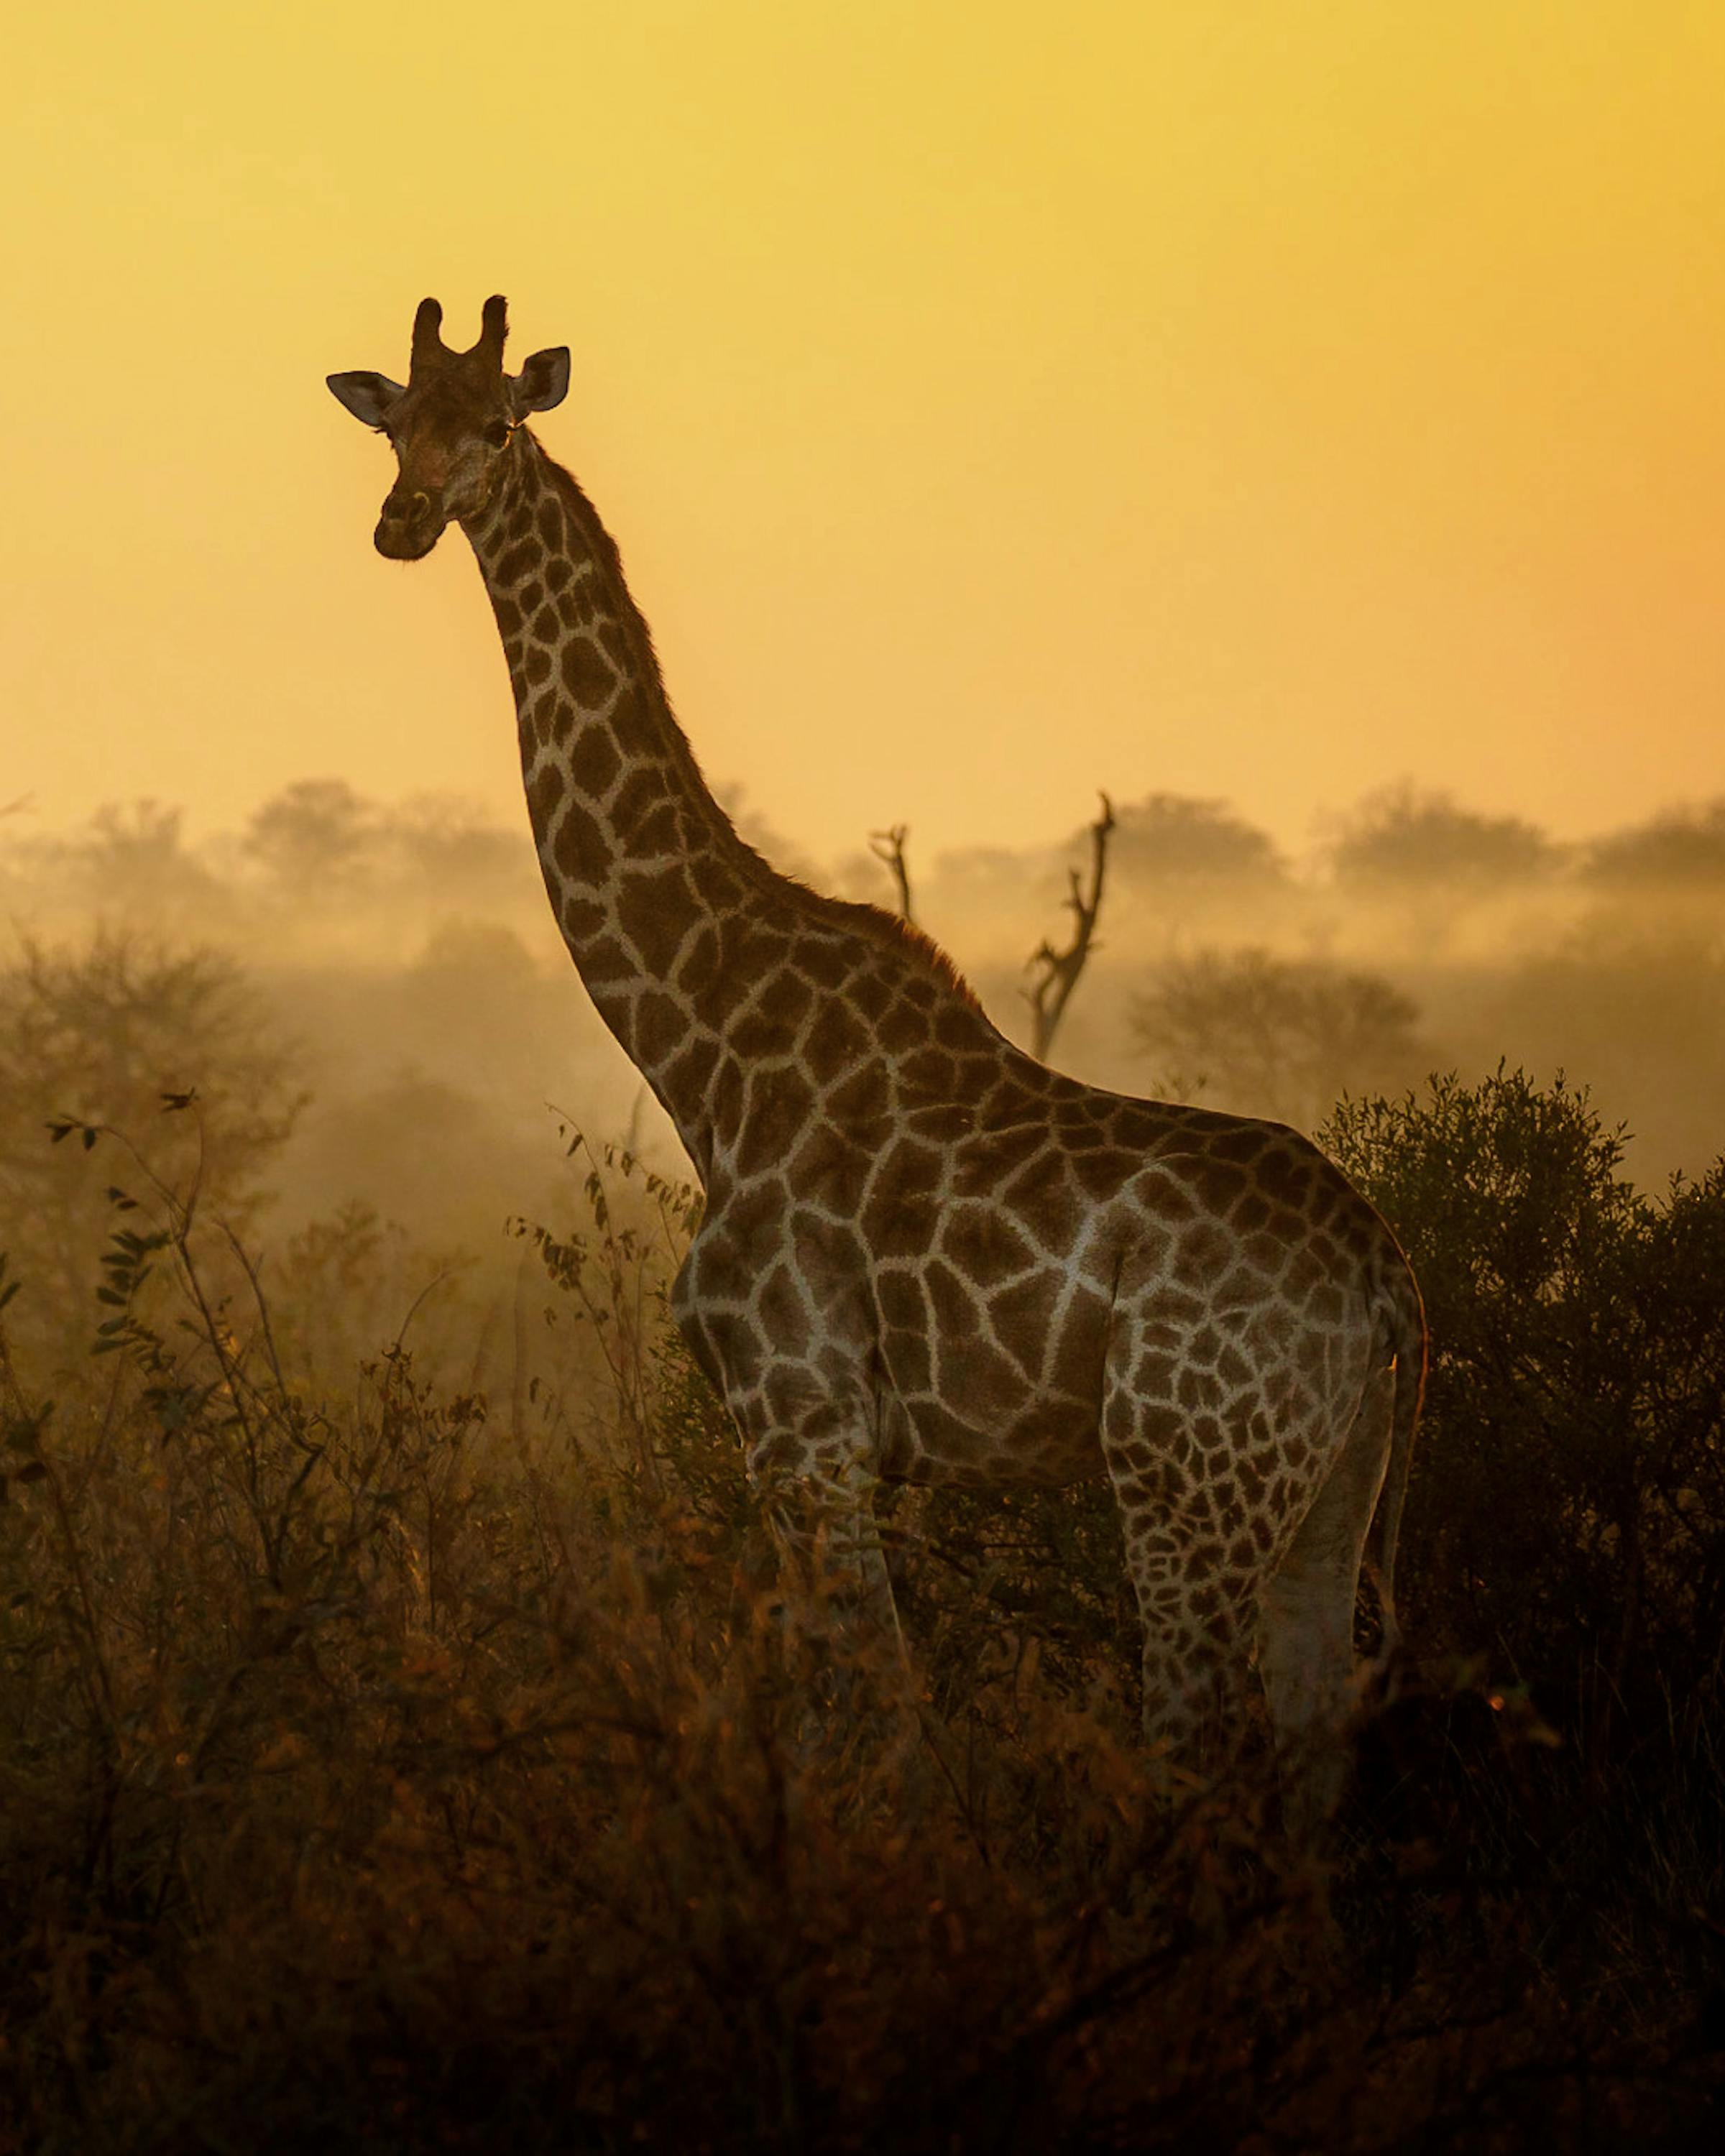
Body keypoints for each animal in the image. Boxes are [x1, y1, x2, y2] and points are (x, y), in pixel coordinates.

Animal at [328, 296, 1426, 1802]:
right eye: (395, 424)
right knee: (1318, 1739)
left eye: (497, 424)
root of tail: (1382, 1275)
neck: (706, 1054)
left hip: (1184, 1480)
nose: (404, 522)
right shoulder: (807, 1441)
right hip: (1330, 1491)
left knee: (1197, 1738)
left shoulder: (804, 1421)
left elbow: (881, 1721)